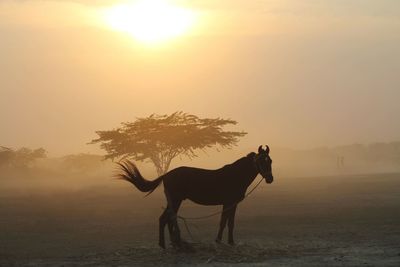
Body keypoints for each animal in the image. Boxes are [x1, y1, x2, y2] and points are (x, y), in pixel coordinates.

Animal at [117, 147, 274, 249]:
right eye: (261, 160)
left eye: (270, 160)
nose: (270, 179)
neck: (235, 176)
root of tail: (166, 174)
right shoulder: (230, 203)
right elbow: (226, 222)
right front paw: (225, 241)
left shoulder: (230, 204)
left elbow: (227, 222)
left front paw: (224, 241)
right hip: (175, 200)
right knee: (166, 218)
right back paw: (165, 244)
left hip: (174, 201)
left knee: (168, 218)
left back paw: (174, 242)